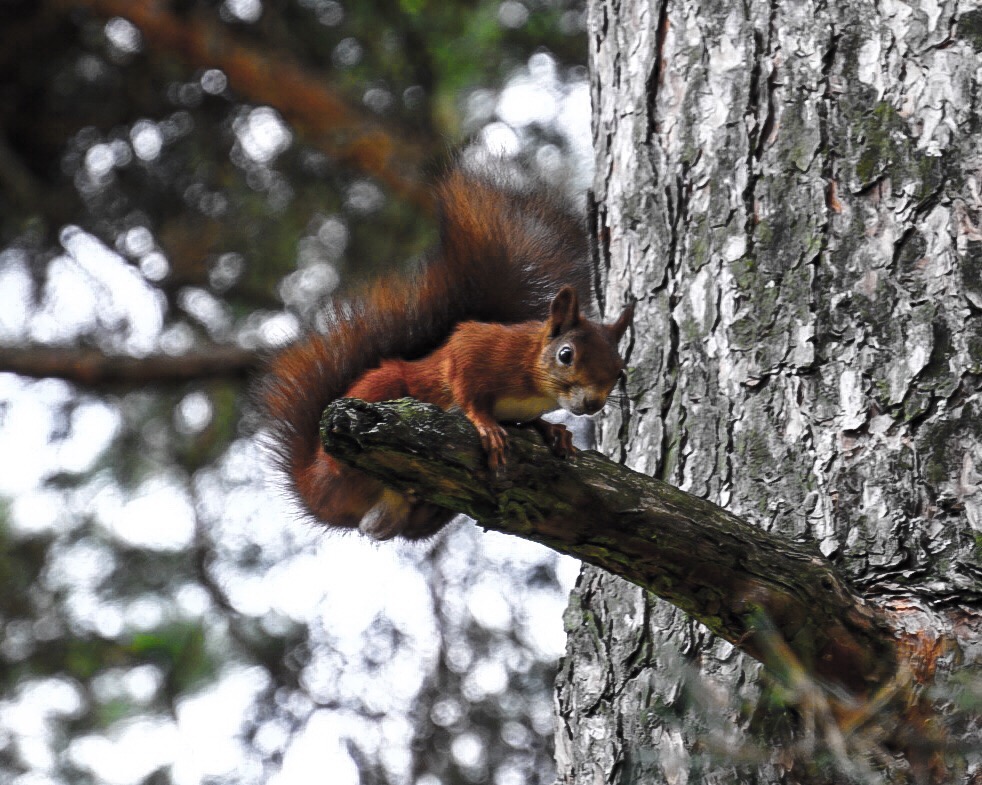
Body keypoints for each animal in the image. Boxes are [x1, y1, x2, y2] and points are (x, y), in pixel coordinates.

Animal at [262, 167, 636, 540]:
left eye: (621, 370)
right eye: (566, 355)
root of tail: (315, 487)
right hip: (378, 394)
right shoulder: (476, 348)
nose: (592, 404)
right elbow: (465, 385)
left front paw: (553, 431)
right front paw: (486, 424)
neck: (533, 384)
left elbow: (533, 422)